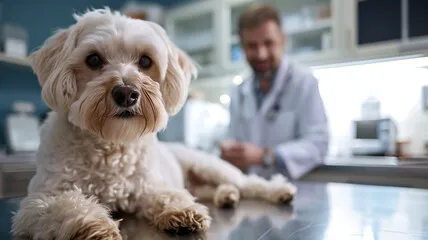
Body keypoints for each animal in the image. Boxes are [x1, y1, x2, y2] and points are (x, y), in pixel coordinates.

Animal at [11, 8, 296, 239]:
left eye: (146, 61)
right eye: (93, 59)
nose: (126, 93)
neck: (111, 143)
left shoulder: (149, 184)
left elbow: (167, 193)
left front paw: (182, 209)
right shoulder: (39, 200)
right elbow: (65, 204)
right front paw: (92, 223)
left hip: (211, 167)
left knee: (250, 183)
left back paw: (277, 190)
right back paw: (227, 196)